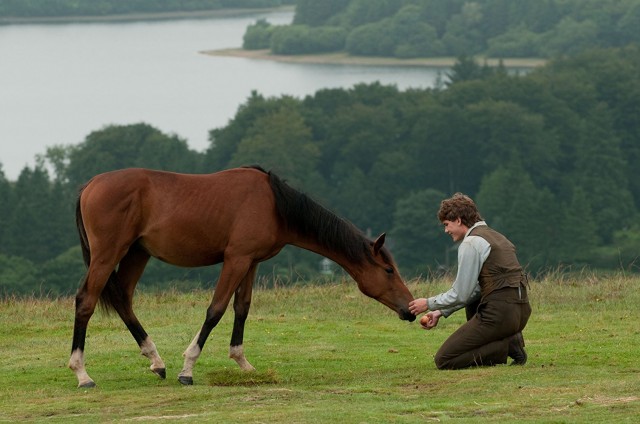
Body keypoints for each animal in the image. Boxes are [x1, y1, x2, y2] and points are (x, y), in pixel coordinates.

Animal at [67, 166, 412, 388]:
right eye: (388, 270)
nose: (409, 308)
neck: (274, 204)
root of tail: (89, 186)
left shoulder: (251, 262)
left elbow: (241, 309)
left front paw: (242, 362)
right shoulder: (236, 259)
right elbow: (216, 310)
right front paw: (188, 368)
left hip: (137, 254)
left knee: (123, 299)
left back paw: (156, 360)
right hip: (108, 254)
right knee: (86, 301)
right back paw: (82, 373)